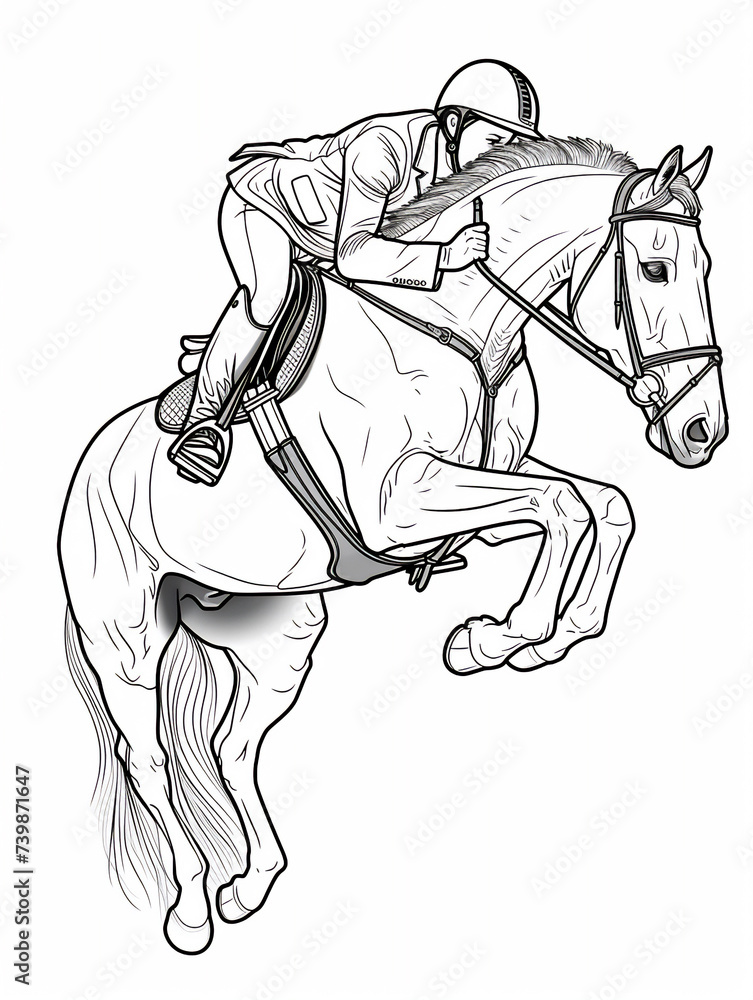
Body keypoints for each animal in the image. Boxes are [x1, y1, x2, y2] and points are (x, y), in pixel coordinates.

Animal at [59, 138, 727, 954]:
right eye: (656, 269)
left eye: (705, 267)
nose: (703, 430)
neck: (459, 329)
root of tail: (84, 471)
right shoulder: (398, 503)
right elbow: (565, 508)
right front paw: (500, 637)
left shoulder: (486, 486)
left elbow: (602, 505)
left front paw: (548, 636)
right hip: (125, 639)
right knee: (151, 761)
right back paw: (189, 912)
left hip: (276, 636)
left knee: (234, 748)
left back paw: (250, 883)